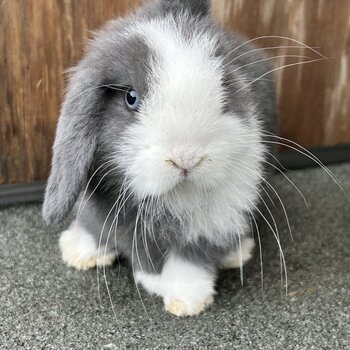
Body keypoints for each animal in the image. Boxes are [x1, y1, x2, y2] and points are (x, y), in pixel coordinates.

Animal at [42, 0, 274, 318]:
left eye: (225, 90)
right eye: (131, 98)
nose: (186, 158)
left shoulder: (214, 218)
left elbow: (191, 256)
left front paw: (184, 300)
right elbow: (100, 226)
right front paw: (80, 252)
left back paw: (236, 254)